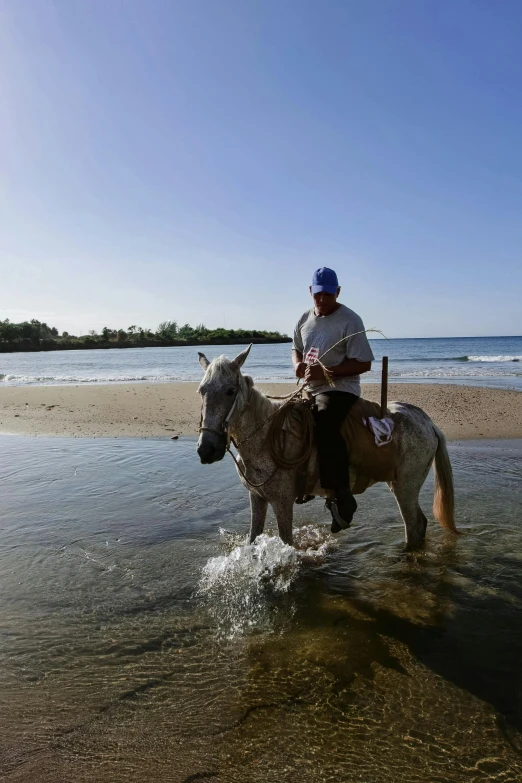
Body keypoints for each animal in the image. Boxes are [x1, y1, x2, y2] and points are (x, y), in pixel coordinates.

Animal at [196, 346, 456, 548]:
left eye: (230, 391)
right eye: (201, 391)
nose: (206, 449)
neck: (265, 439)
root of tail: (427, 421)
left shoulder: (282, 502)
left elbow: (286, 542)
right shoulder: (257, 497)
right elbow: (253, 538)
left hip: (406, 487)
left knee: (414, 527)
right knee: (420, 525)